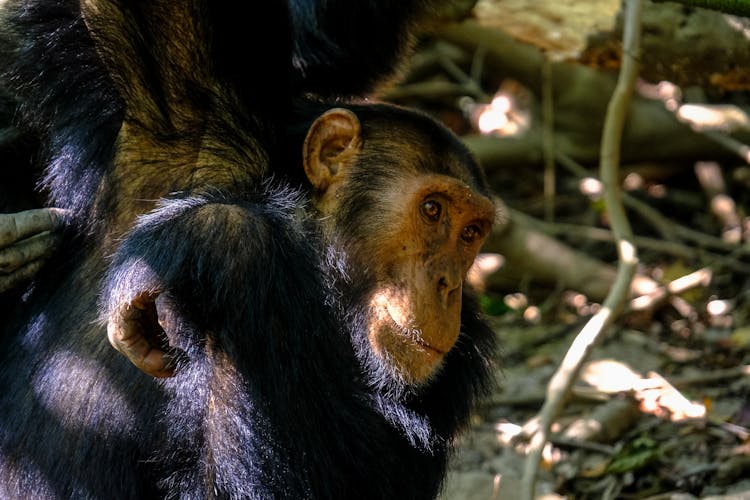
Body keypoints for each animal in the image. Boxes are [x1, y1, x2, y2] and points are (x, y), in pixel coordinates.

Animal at [1, 0, 506, 496]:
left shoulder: (455, 367)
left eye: (471, 233)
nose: (447, 283)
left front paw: (215, 239)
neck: (314, 262)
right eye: (433, 210)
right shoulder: (188, 137)